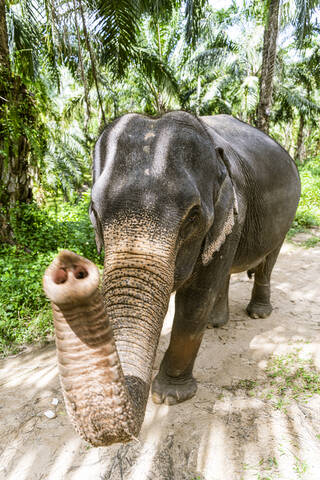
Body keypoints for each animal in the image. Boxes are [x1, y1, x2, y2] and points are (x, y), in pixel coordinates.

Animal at [42, 111, 300, 446]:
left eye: (193, 216)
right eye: (94, 212)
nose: (69, 270)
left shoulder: (232, 211)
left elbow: (195, 299)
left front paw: (169, 397)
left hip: (286, 214)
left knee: (269, 261)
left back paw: (257, 314)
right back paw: (217, 323)